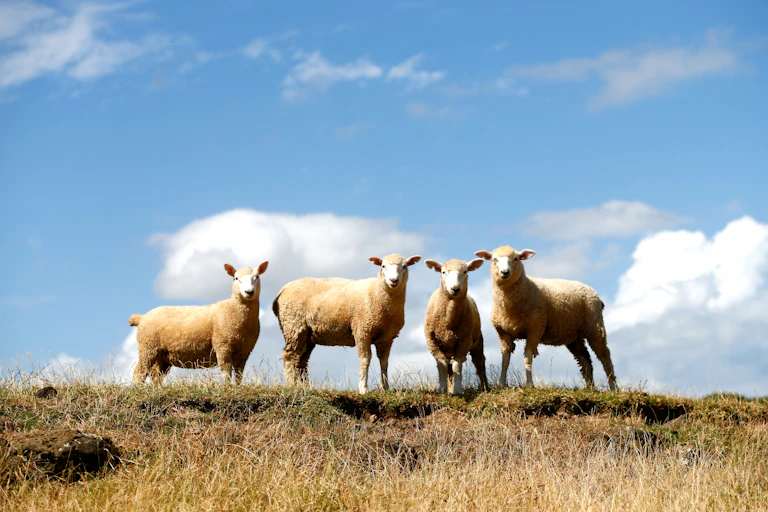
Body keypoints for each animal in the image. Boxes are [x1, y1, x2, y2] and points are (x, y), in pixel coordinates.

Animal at [129, 262, 269, 385]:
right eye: (236, 278)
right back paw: (139, 388)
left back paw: (156, 389)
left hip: (161, 355)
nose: (249, 292)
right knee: (139, 371)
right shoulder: (222, 345)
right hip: (148, 347)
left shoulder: (244, 351)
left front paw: (238, 387)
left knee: (155, 376)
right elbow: (226, 371)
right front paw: (228, 387)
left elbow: (239, 374)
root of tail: (142, 317)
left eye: (257, 277)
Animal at [273, 254, 421, 394]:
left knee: (301, 361)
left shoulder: (387, 338)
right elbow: (365, 359)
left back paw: (305, 387)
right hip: (293, 326)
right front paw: (363, 388)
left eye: (404, 266)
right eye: (383, 266)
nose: (393, 280)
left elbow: (384, 362)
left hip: (307, 335)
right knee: (289, 356)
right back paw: (291, 385)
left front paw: (385, 388)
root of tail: (281, 292)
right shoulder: (362, 330)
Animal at [423, 258, 488, 394]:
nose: (455, 288)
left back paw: (485, 387)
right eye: (443, 272)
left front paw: (458, 390)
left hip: (477, 340)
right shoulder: (432, 342)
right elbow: (442, 365)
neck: (448, 321)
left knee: (479, 362)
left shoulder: (464, 341)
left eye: (465, 271)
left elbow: (457, 365)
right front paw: (442, 389)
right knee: (448, 366)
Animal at [474, 246, 617, 391]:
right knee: (585, 360)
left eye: (516, 259)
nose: (504, 272)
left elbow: (528, 358)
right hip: (574, 336)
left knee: (605, 357)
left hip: (595, 327)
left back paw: (613, 387)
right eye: (494, 259)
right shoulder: (503, 333)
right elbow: (505, 359)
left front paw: (529, 384)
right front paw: (501, 384)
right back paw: (590, 388)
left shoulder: (535, 329)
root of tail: (594, 293)